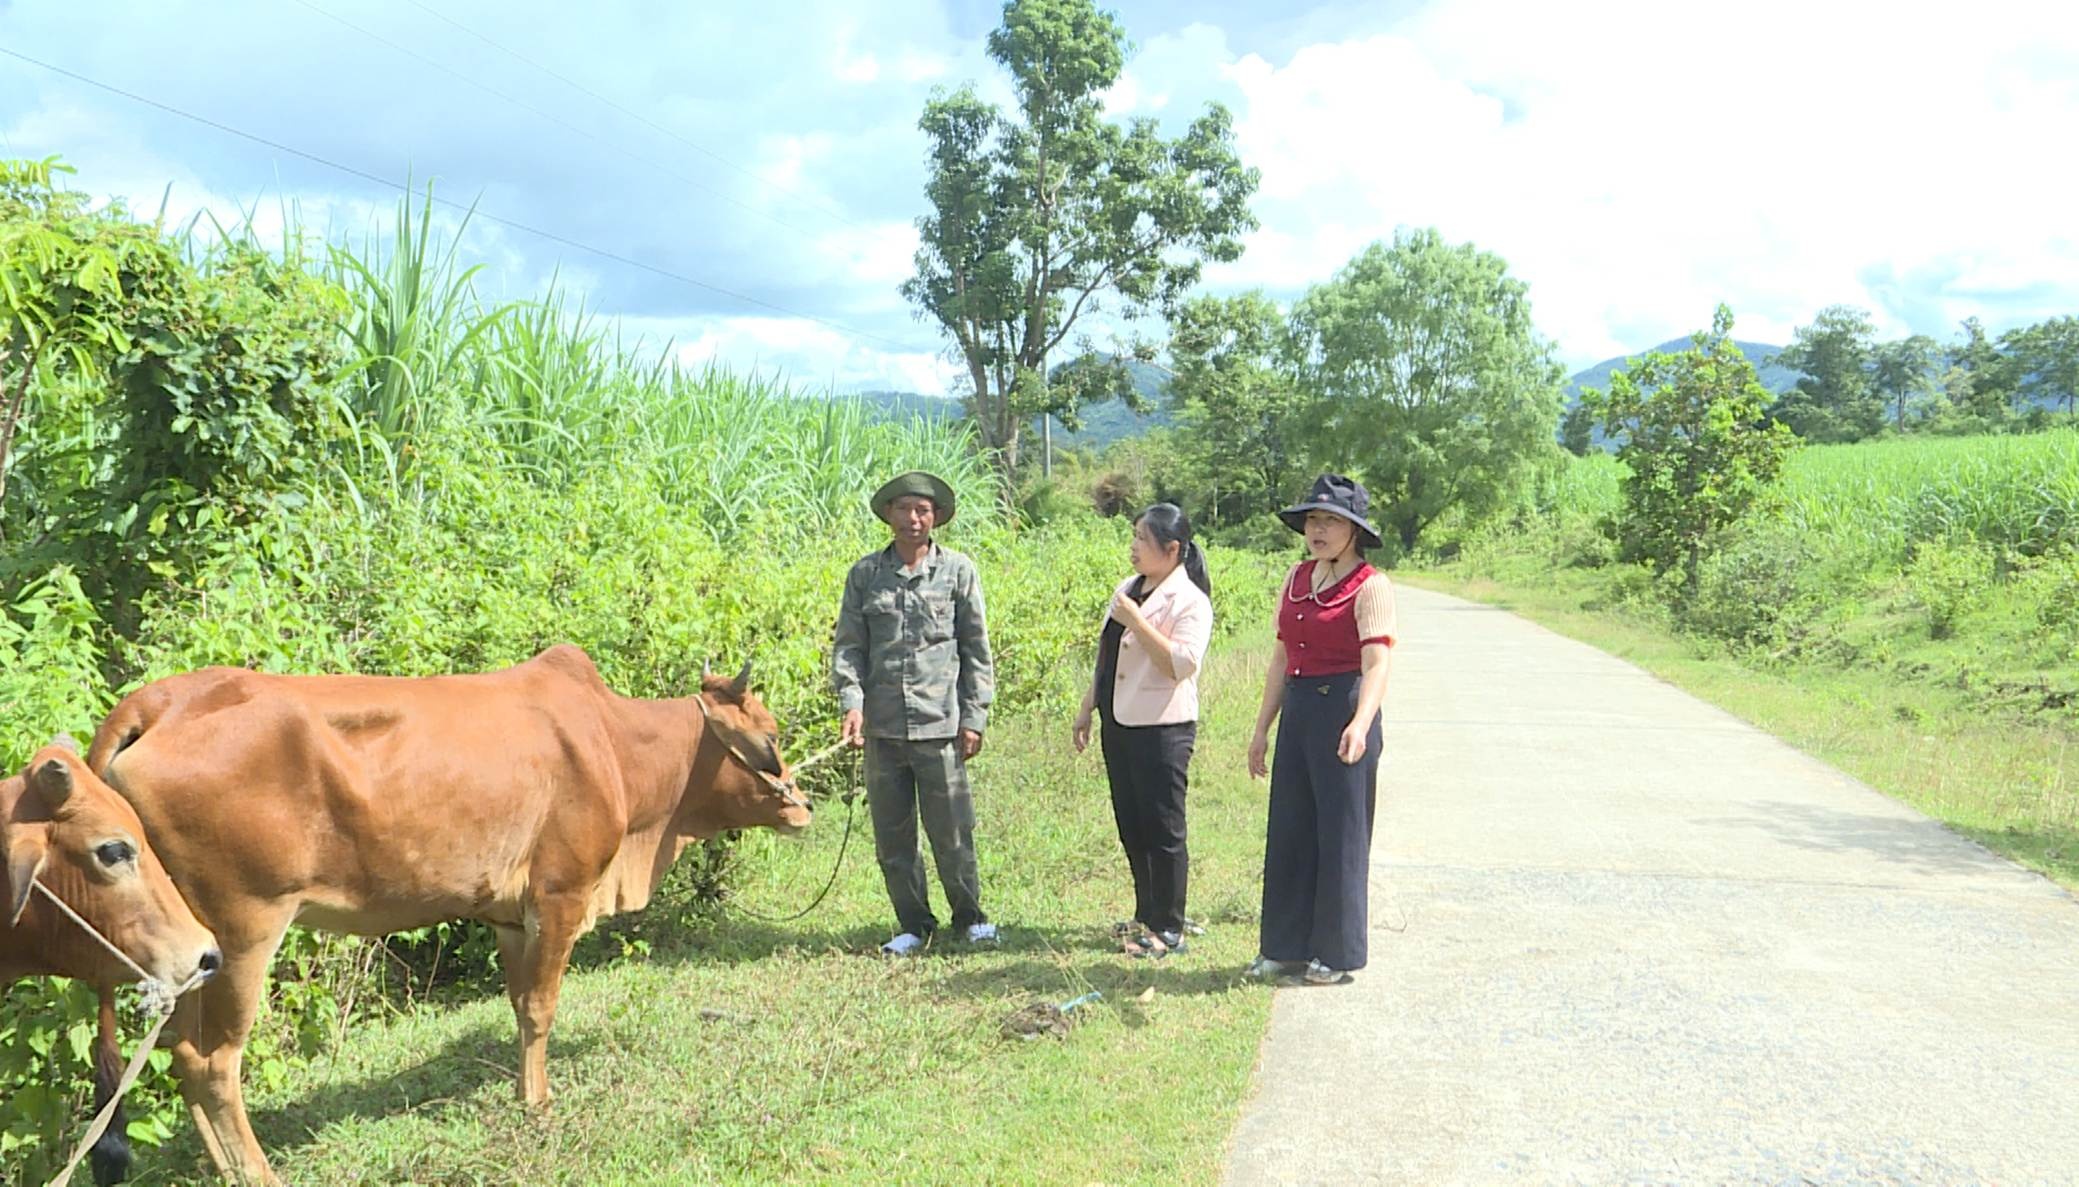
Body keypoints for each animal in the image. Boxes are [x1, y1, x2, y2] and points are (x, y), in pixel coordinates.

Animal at [91, 644, 819, 1180]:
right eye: (771, 736)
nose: (802, 805)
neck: (617, 746)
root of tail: (156, 701)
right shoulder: (560, 896)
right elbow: (542, 1007)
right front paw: (540, 1108)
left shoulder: (509, 915)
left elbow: (520, 1006)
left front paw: (526, 1092)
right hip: (246, 928)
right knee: (212, 1060)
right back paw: (257, 1172)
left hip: (192, 949)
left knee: (181, 1053)